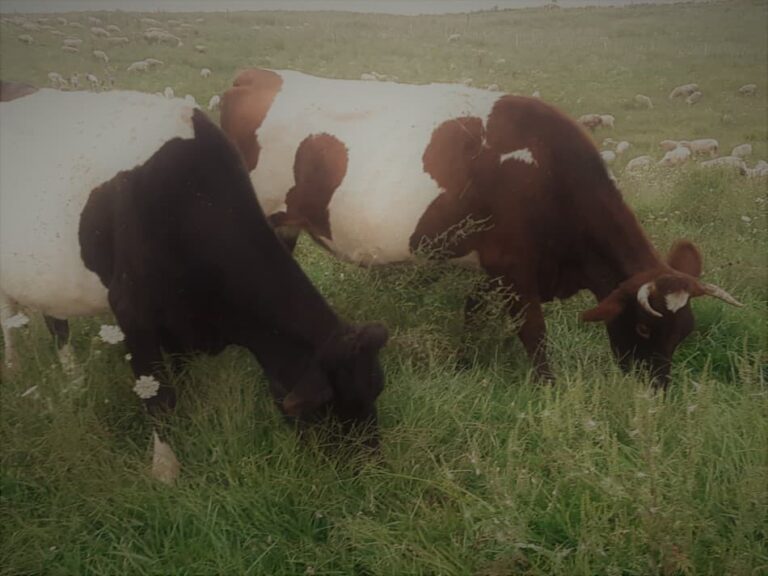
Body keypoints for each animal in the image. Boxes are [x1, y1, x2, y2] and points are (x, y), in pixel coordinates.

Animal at [0, 84, 388, 482]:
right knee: (9, 316)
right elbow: (157, 395)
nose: (371, 467)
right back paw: (13, 366)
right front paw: (165, 469)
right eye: (330, 404)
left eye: (376, 387)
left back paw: (73, 378)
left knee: (56, 321)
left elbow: (179, 377)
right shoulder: (131, 309)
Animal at [219, 70, 740, 390]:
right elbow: (533, 333)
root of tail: (259, 75)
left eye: (685, 331)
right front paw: (547, 388)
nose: (656, 390)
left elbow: (471, 313)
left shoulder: (493, 266)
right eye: (646, 329)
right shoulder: (516, 268)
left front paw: (464, 365)